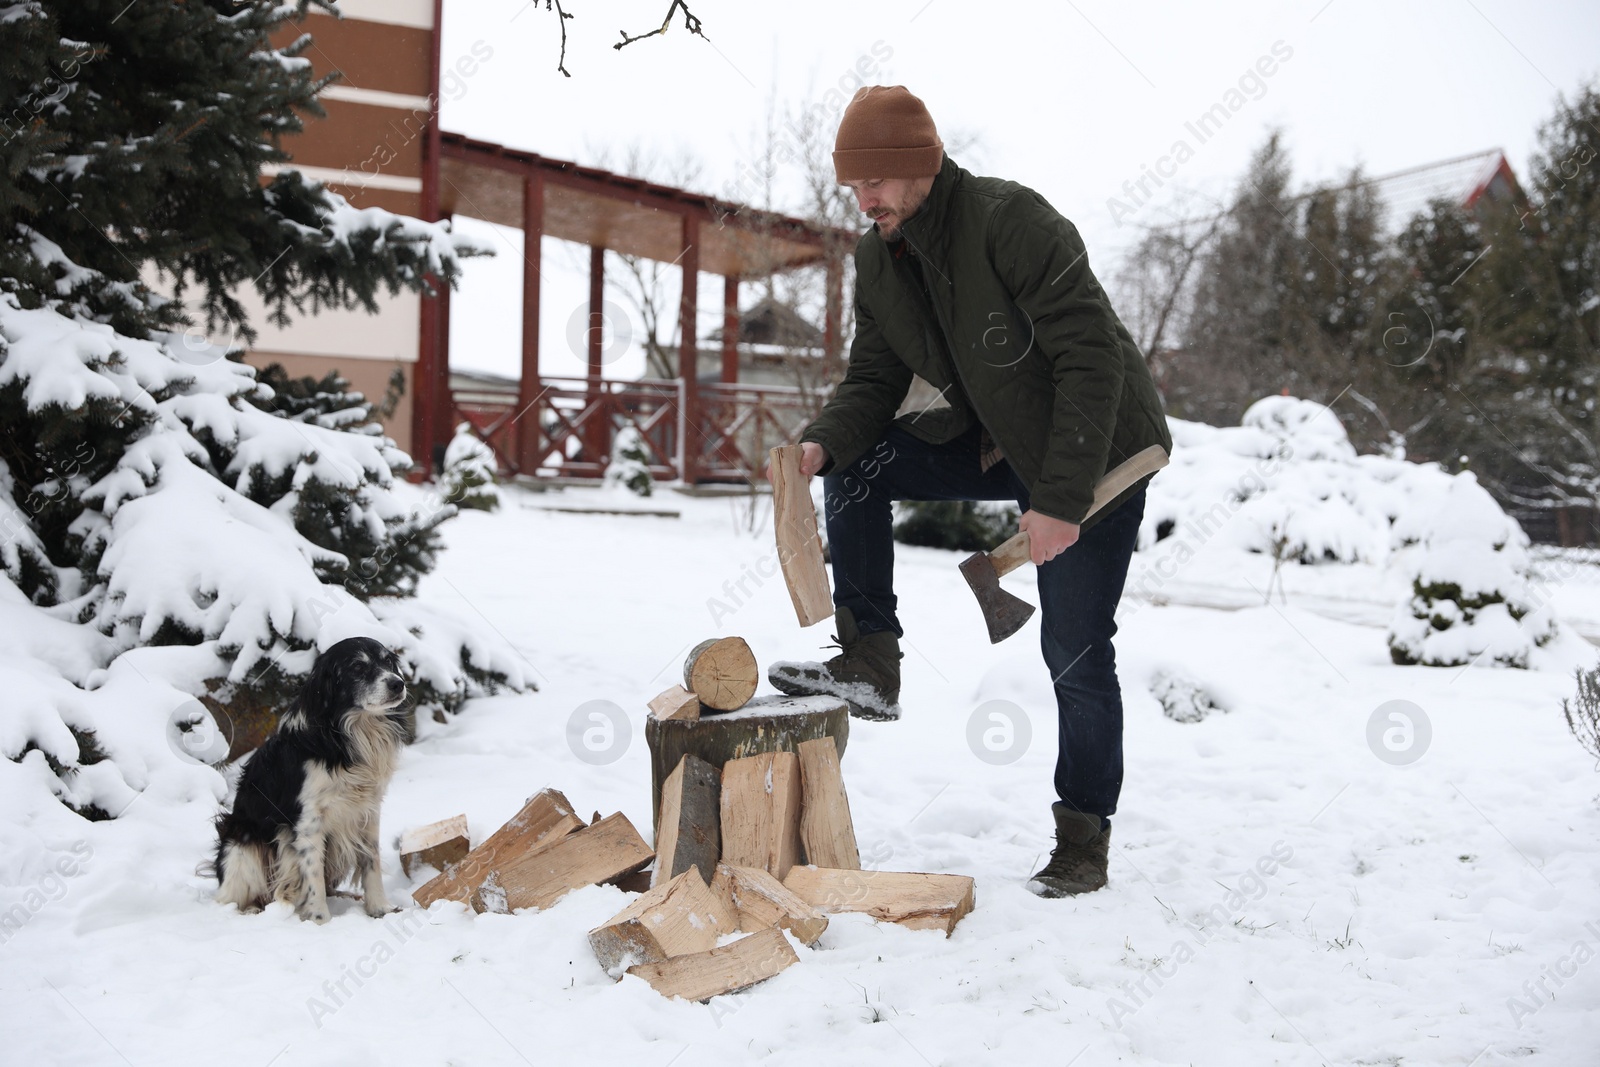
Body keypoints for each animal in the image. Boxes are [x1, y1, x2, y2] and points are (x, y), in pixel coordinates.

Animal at [212, 639, 409, 921]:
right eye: (357, 667)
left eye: (388, 662)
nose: (398, 683)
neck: (350, 733)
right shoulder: (308, 820)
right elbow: (312, 874)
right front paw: (319, 919)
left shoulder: (368, 812)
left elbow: (371, 862)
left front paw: (380, 909)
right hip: (241, 847)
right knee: (230, 899)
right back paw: (251, 909)